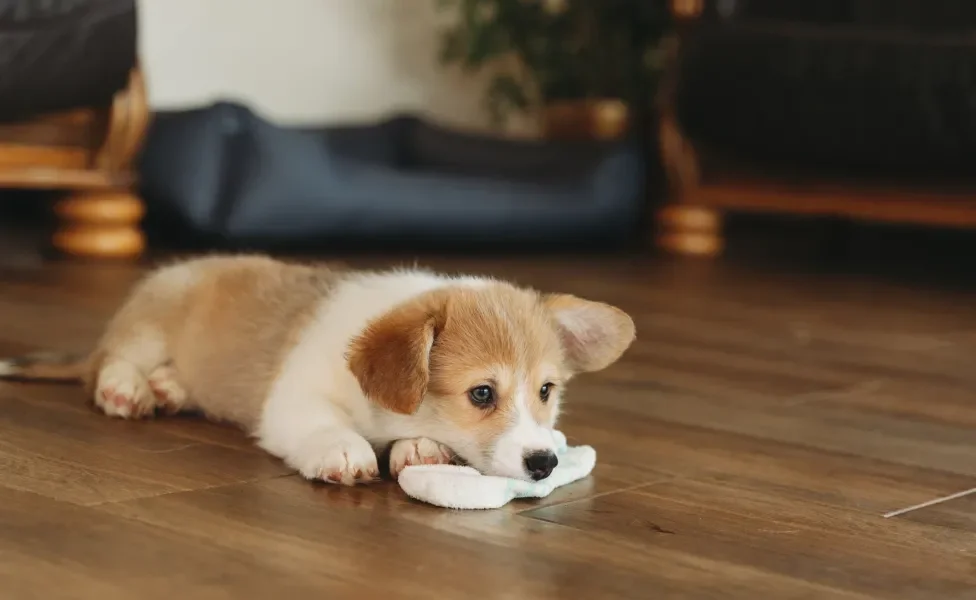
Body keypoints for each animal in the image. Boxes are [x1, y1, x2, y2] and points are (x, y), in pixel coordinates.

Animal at [0, 255, 636, 486]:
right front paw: (345, 451)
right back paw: (128, 387)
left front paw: (421, 449)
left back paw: (169, 385)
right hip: (151, 321)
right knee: (110, 361)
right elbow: (328, 428)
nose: (545, 463)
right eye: (482, 394)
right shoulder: (295, 399)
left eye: (547, 390)